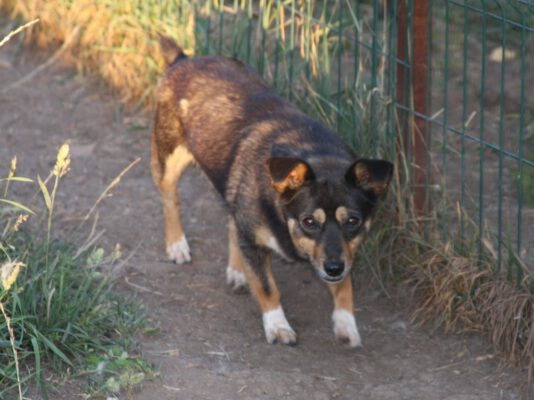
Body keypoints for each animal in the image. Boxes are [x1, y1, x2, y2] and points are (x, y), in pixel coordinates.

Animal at [151, 37, 394, 346]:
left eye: (353, 221)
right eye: (308, 221)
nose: (333, 268)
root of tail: (184, 59)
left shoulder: (343, 253)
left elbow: (344, 286)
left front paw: (345, 322)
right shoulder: (258, 242)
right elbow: (268, 287)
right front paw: (278, 326)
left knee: (231, 221)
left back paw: (237, 270)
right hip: (169, 158)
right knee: (171, 199)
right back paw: (177, 245)